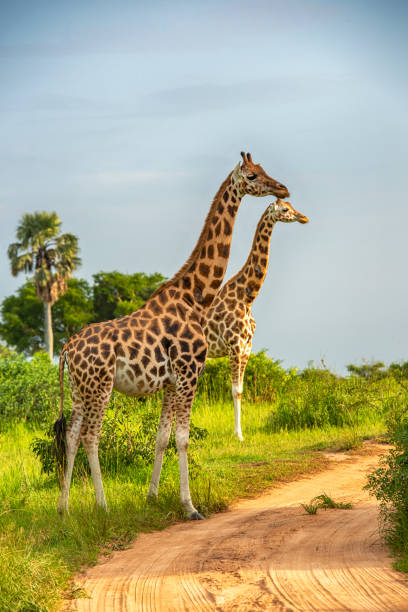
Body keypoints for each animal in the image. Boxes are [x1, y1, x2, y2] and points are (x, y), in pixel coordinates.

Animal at [55, 152, 290, 516]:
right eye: (252, 176)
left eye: (264, 169)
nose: (283, 188)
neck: (196, 298)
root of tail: (67, 348)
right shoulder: (190, 374)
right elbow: (183, 438)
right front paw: (190, 506)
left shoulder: (170, 381)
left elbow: (162, 438)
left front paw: (151, 497)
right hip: (100, 387)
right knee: (91, 437)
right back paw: (103, 506)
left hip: (80, 390)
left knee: (71, 434)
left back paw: (64, 508)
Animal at [204, 200, 310, 440]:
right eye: (284, 210)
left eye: (291, 205)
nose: (303, 218)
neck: (247, 297)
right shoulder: (234, 346)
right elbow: (235, 390)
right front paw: (238, 435)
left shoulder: (247, 347)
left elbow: (241, 390)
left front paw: (239, 433)